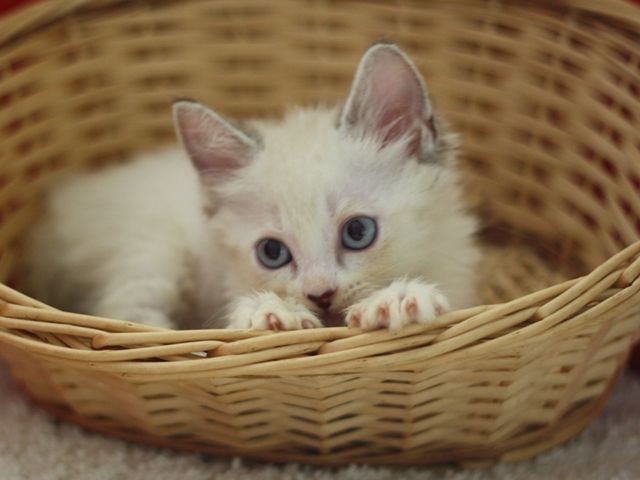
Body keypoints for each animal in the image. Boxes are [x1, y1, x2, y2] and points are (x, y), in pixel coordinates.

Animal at [22, 43, 478, 332]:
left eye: (358, 232)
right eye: (272, 253)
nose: (320, 295)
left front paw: (396, 300)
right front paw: (270, 314)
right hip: (150, 251)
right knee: (130, 319)